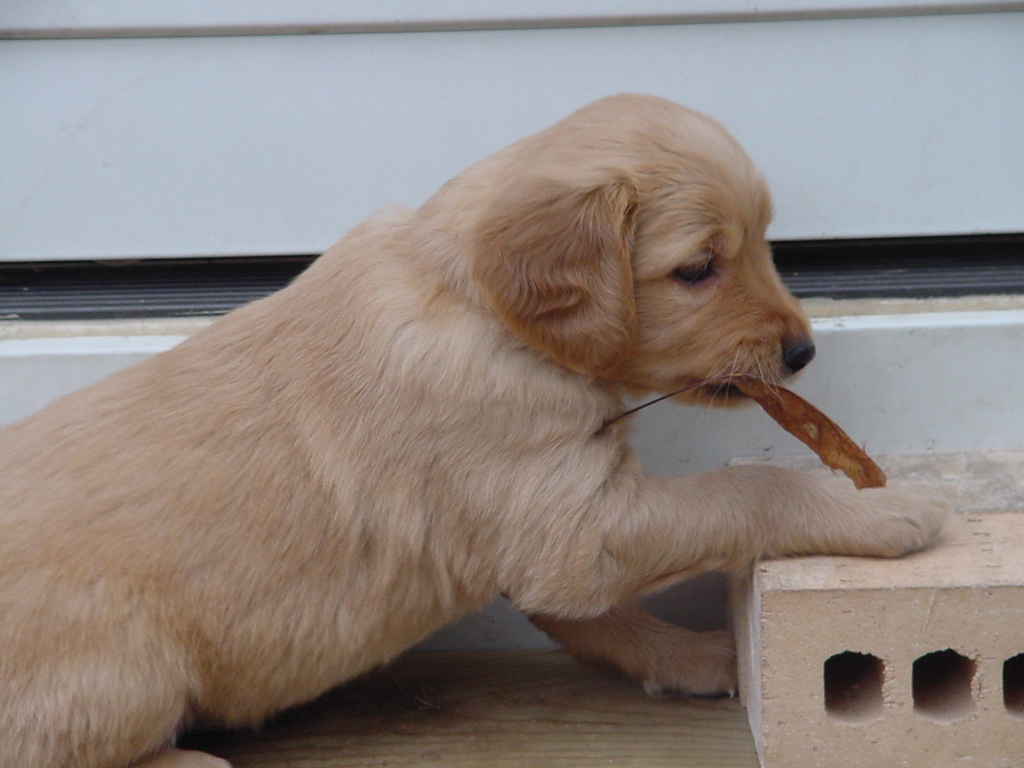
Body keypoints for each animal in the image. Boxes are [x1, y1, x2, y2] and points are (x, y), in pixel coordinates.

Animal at [0, 96, 946, 768]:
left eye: (762, 244)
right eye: (698, 269)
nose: (802, 352)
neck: (480, 307)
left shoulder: (542, 530)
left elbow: (593, 617)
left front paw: (694, 660)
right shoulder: (575, 526)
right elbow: (745, 488)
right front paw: (881, 512)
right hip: (126, 669)